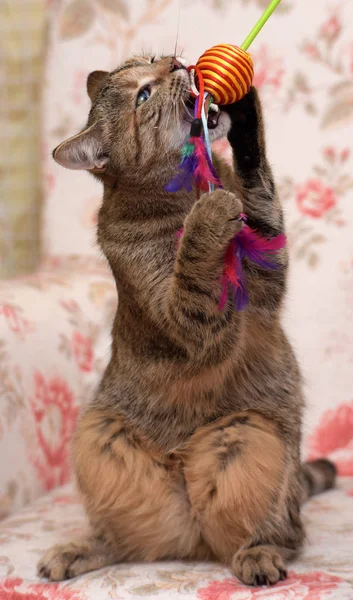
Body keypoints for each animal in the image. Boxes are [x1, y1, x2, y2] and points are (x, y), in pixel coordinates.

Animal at [37, 55, 334, 584]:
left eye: (152, 60)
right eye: (143, 95)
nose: (177, 63)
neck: (185, 189)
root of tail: (189, 538)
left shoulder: (264, 271)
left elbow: (258, 189)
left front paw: (245, 114)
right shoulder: (191, 321)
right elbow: (195, 267)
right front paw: (206, 217)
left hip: (248, 435)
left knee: (275, 533)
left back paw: (256, 552)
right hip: (100, 433)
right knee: (128, 541)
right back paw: (78, 549)